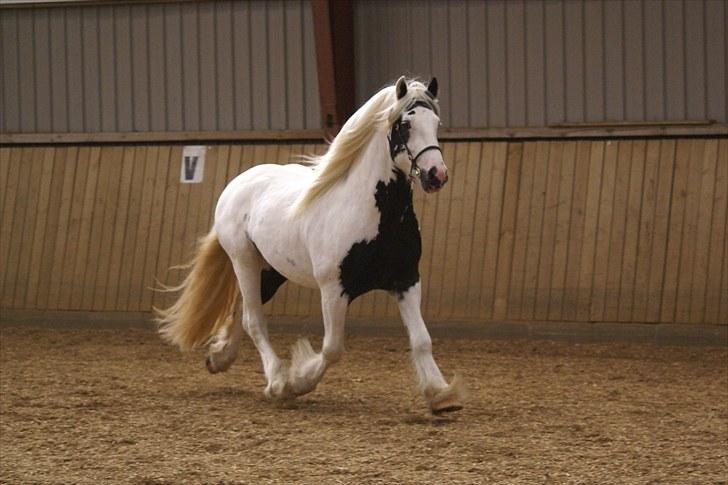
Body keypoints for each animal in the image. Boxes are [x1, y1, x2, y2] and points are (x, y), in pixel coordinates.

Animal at [158, 75, 466, 412]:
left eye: (436, 123)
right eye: (404, 124)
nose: (437, 175)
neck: (371, 214)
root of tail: (237, 184)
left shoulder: (406, 280)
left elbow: (421, 340)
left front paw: (441, 394)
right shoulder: (333, 288)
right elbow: (332, 348)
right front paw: (298, 381)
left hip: (271, 271)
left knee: (241, 310)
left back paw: (219, 358)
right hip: (244, 261)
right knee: (253, 319)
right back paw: (277, 382)